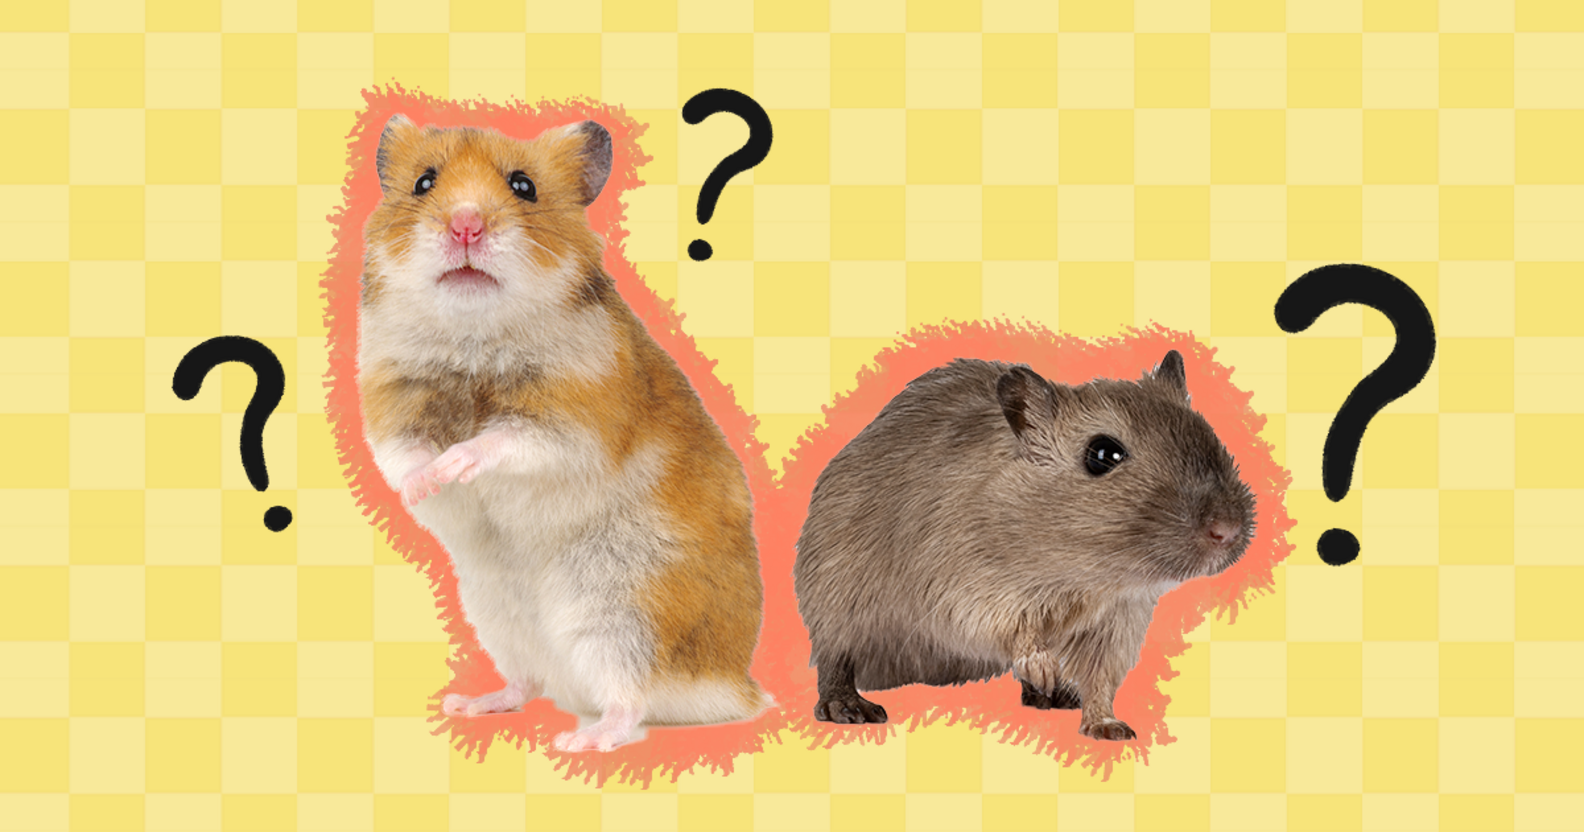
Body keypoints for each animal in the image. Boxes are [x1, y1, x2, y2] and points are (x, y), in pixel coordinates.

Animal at [356, 115, 771, 752]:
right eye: (424, 182)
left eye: (523, 186)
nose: (466, 224)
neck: (472, 338)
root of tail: (734, 686)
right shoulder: (389, 404)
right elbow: (404, 457)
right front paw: (424, 486)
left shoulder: (573, 419)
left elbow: (500, 442)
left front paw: (454, 466)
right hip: (498, 612)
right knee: (528, 681)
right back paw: (470, 704)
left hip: (622, 612)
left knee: (631, 700)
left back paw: (582, 740)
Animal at [793, 352, 1254, 741]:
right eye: (1102, 454)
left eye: (1207, 432)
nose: (1228, 530)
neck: (1081, 574)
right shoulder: (964, 586)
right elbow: (1018, 635)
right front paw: (1045, 670)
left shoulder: (1118, 620)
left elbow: (1101, 681)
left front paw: (1107, 727)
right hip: (833, 601)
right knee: (834, 659)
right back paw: (849, 708)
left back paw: (1051, 697)